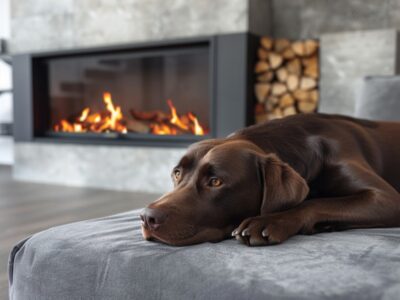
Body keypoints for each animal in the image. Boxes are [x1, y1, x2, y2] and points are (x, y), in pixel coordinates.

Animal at [140, 112, 400, 246]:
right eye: (177, 173)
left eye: (215, 181)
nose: (146, 217)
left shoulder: (386, 199)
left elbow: (314, 202)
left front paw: (268, 221)